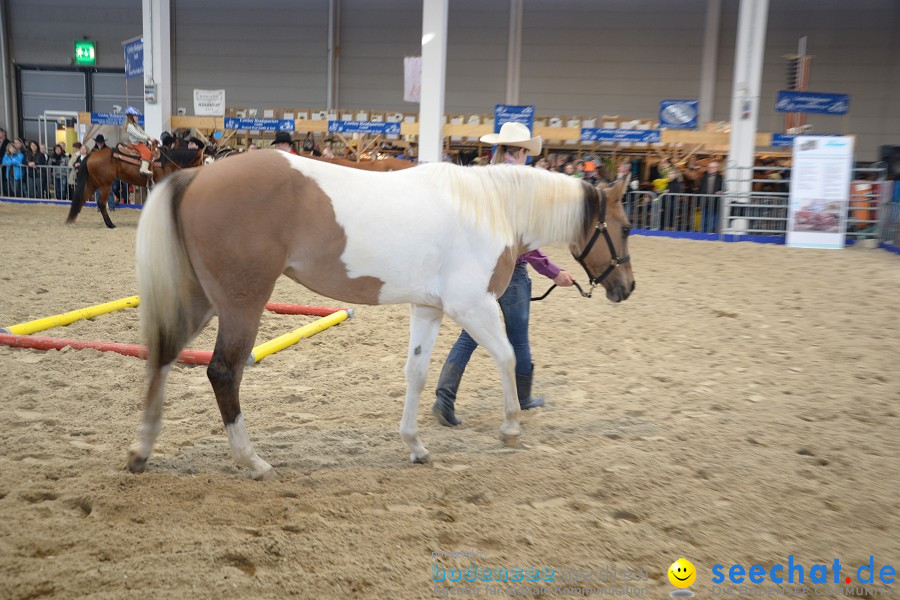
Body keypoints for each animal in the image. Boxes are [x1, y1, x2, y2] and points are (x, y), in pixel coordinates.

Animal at [64, 146, 204, 229]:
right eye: (205, 160)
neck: (168, 162)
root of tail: (90, 155)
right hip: (105, 184)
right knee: (101, 203)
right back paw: (110, 224)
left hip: (93, 183)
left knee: (81, 198)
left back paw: (72, 219)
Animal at [126, 152, 636, 480]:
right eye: (626, 227)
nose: (626, 288)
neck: (489, 207)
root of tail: (195, 176)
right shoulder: (473, 305)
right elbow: (508, 356)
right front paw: (510, 427)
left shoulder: (429, 308)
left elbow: (417, 372)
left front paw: (415, 445)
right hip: (241, 303)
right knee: (223, 372)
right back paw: (251, 461)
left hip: (201, 299)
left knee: (163, 355)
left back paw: (141, 451)